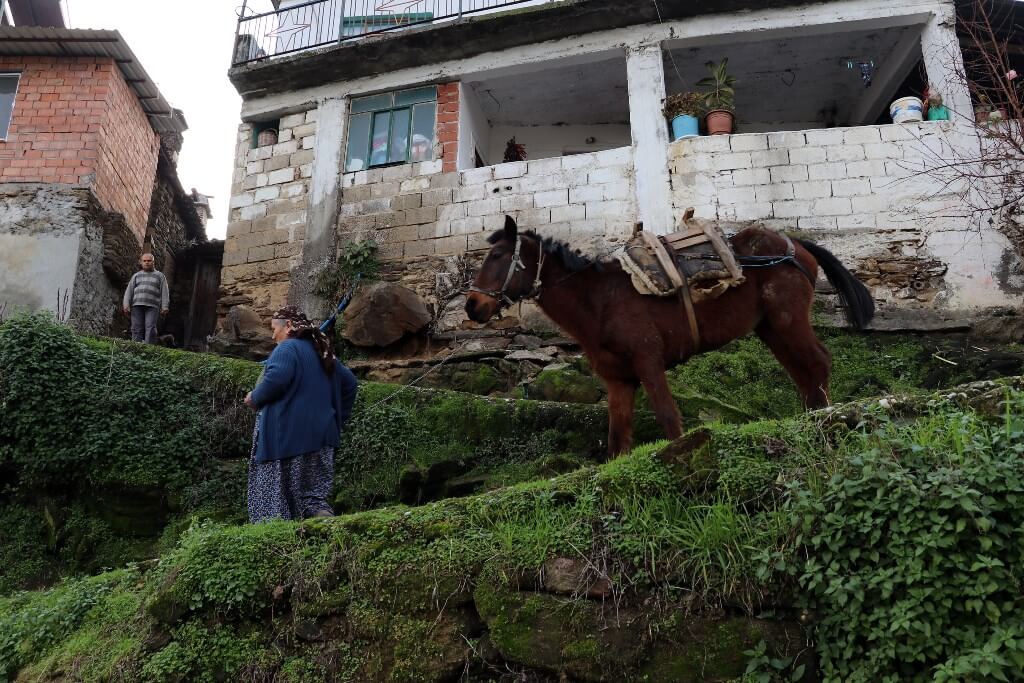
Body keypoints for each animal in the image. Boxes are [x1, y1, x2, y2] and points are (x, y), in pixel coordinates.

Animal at [464, 216, 872, 456]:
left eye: (498, 255)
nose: (471, 306)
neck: (599, 300)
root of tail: (796, 246)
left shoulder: (649, 362)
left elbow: (669, 421)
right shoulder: (619, 381)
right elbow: (618, 442)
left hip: (787, 319)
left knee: (817, 364)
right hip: (771, 328)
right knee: (804, 373)